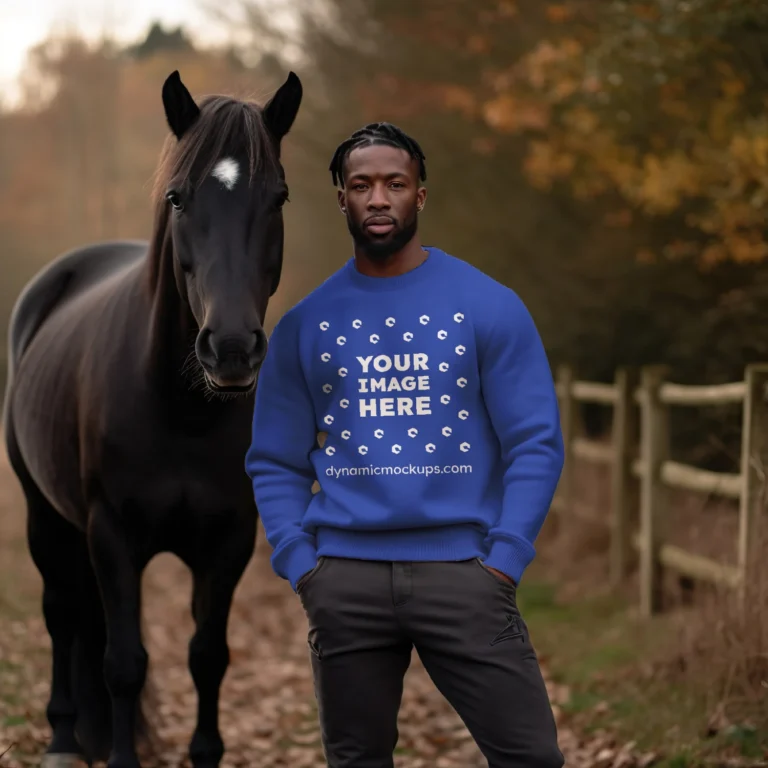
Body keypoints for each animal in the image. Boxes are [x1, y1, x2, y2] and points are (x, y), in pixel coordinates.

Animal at [3, 67, 304, 768]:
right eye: (177, 198)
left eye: (278, 197)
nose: (231, 347)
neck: (180, 411)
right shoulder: (112, 536)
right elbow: (124, 663)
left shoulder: (229, 542)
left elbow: (208, 657)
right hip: (44, 516)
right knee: (62, 613)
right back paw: (63, 740)